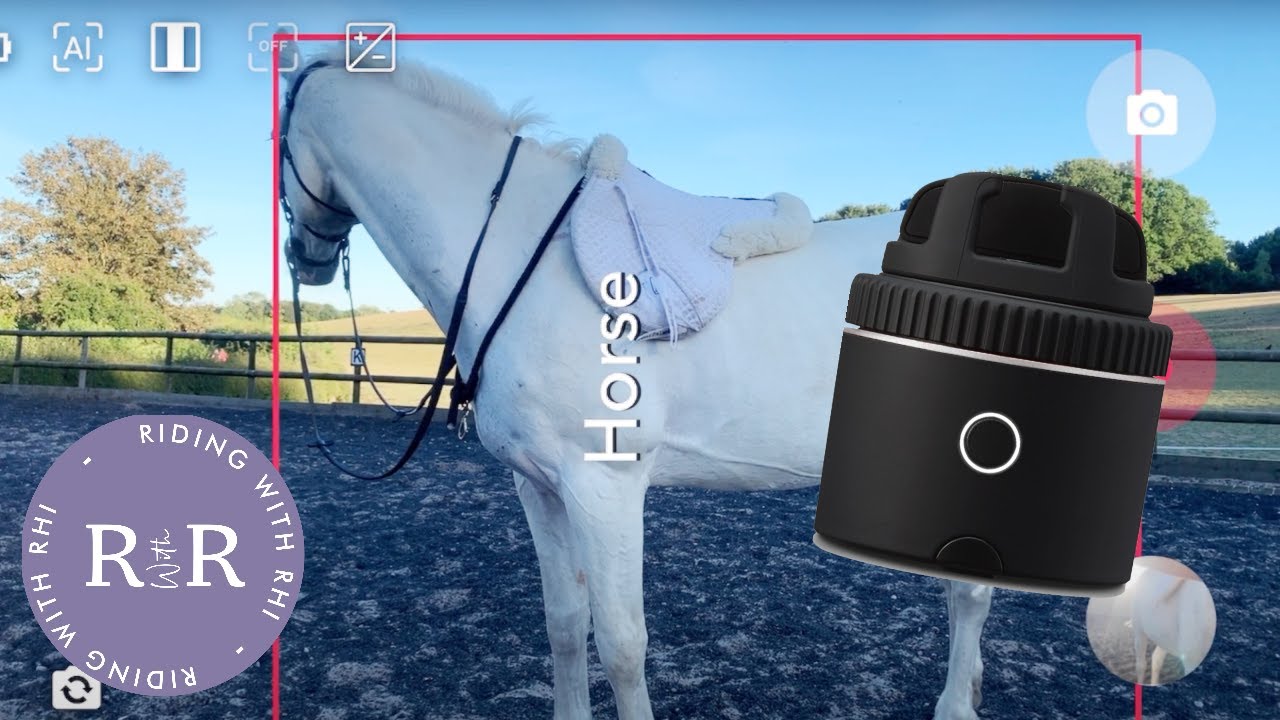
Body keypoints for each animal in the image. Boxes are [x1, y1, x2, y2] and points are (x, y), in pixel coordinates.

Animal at [276, 45, 994, 720]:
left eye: (278, 142)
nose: (305, 260)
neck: (518, 254)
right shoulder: (540, 487)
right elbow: (565, 626)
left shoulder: (604, 489)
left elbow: (622, 645)